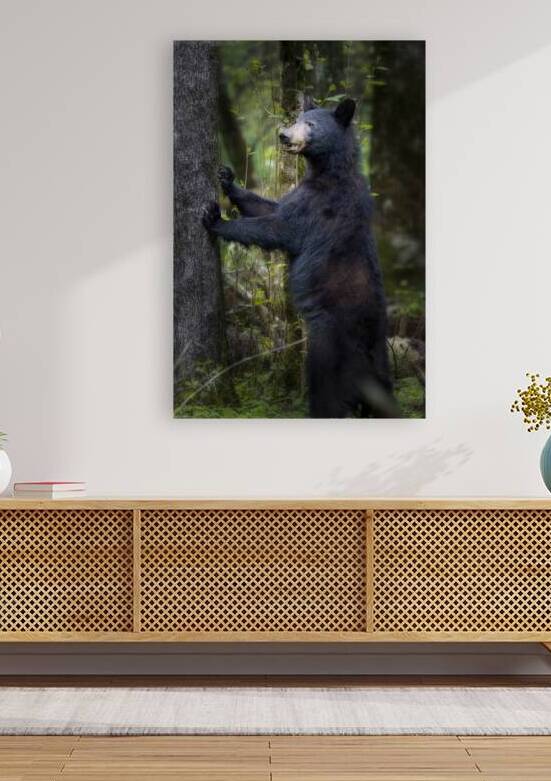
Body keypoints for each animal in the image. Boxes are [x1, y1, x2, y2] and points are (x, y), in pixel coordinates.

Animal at [202, 97, 397, 418]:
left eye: (310, 124)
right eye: (296, 119)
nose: (283, 135)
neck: (328, 170)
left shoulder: (320, 205)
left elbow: (278, 227)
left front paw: (215, 219)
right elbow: (269, 207)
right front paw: (228, 180)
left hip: (328, 342)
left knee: (325, 387)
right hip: (379, 364)